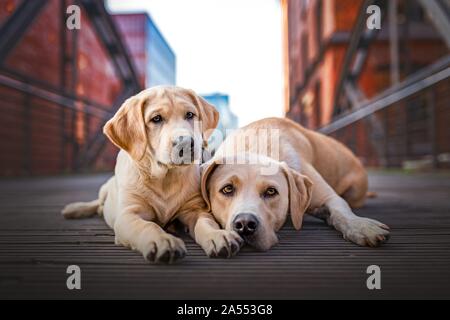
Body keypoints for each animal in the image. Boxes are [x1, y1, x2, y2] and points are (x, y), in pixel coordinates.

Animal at [62, 86, 243, 264]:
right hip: (105, 189)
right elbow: (148, 226)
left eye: (190, 115)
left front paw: (218, 235)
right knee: (98, 203)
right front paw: (163, 240)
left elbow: (206, 222)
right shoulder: (128, 215)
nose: (186, 143)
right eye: (156, 119)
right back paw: (76, 209)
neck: (166, 178)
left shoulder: (195, 209)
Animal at [201, 118, 390, 252]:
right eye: (227, 189)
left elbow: (341, 212)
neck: (255, 145)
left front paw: (362, 226)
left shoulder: (329, 197)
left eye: (271, 191)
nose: (245, 224)